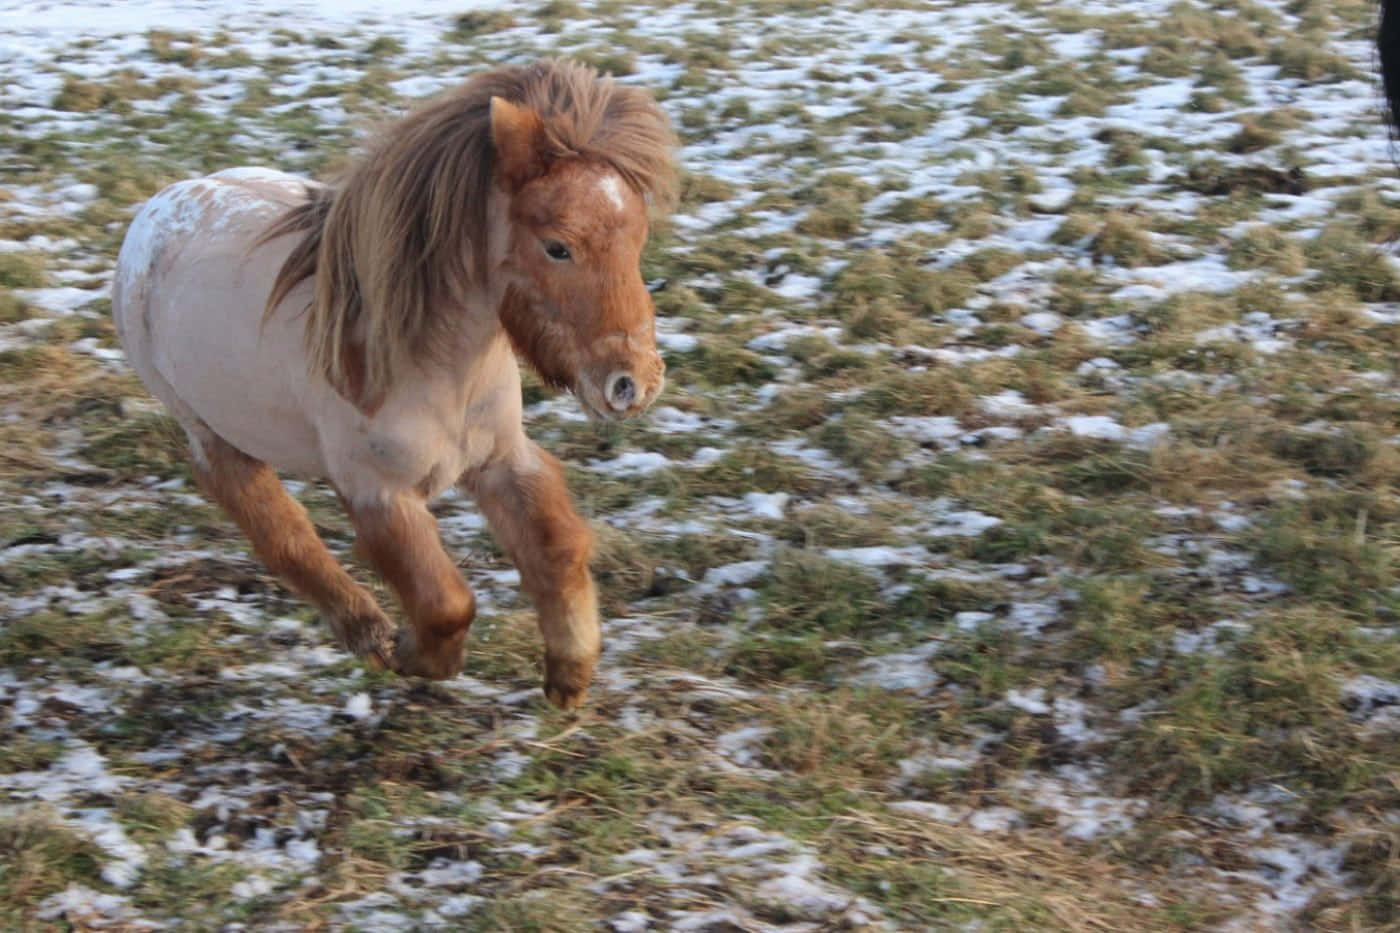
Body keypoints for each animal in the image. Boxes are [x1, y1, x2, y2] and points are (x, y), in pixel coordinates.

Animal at [110, 59, 677, 706]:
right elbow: (444, 603)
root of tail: (158, 207)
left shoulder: (504, 460)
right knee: (275, 527)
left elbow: (557, 549)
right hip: (209, 431)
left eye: (638, 238)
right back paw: (367, 632)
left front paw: (569, 677)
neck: (436, 367)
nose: (633, 384)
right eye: (558, 247)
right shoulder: (379, 494)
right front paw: (411, 656)